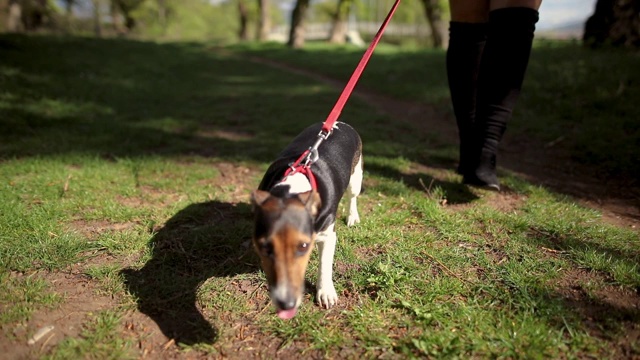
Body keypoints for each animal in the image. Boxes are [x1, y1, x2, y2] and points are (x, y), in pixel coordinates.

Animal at [250, 121, 362, 320]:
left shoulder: (328, 235)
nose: (286, 303)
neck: (294, 187)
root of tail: (340, 123)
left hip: (356, 176)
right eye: (265, 247)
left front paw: (326, 293)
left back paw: (352, 216)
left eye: (303, 246)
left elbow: (325, 265)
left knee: (353, 196)